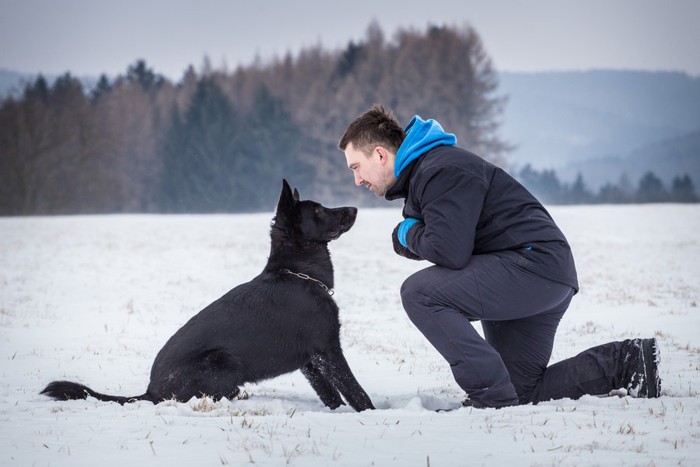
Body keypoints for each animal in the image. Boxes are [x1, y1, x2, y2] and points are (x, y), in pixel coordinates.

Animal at [41, 181, 374, 412]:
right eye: (317, 210)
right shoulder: (327, 351)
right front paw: (370, 414)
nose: (355, 209)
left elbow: (331, 394)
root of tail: (150, 392)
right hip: (222, 361)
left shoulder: (310, 362)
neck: (297, 274)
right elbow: (354, 389)